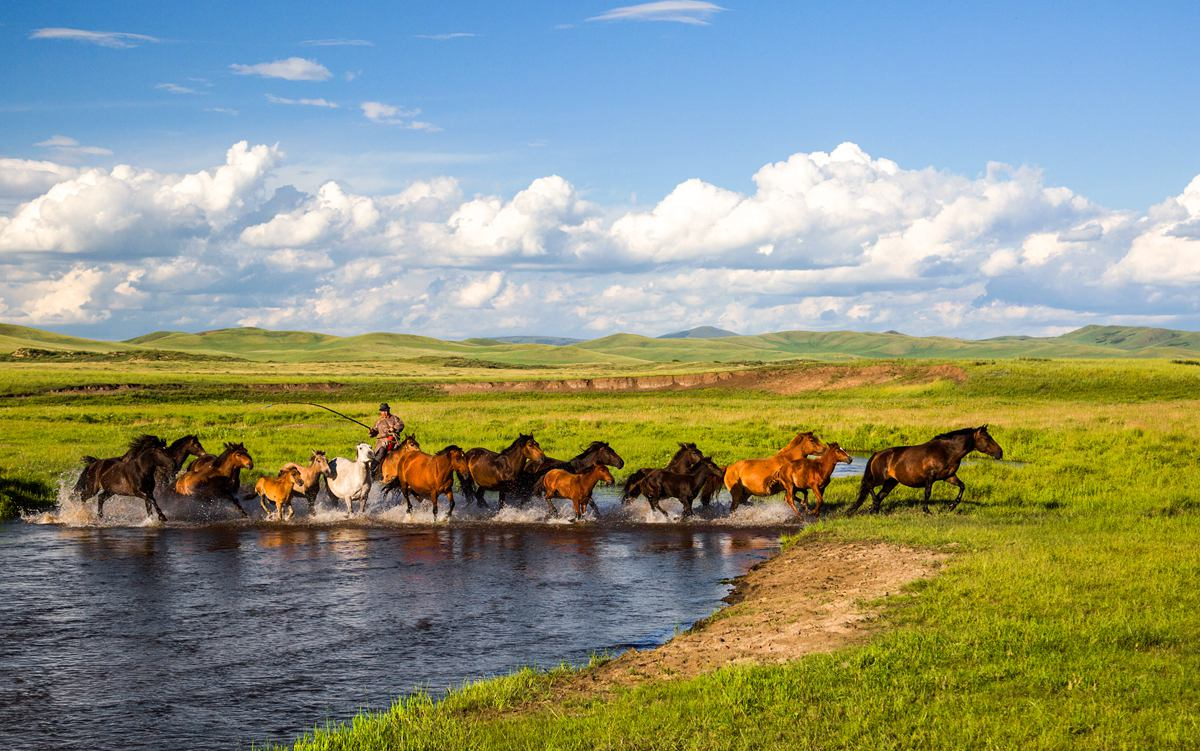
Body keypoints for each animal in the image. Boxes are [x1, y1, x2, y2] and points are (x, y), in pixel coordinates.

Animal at [849, 424, 1008, 511]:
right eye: (987, 438)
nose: (1000, 452)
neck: (947, 451)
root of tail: (877, 454)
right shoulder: (930, 478)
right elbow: (927, 493)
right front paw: (926, 510)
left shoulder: (949, 477)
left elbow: (962, 487)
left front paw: (951, 506)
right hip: (880, 478)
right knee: (869, 486)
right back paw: (874, 505)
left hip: (891, 482)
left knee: (880, 495)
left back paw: (874, 508)